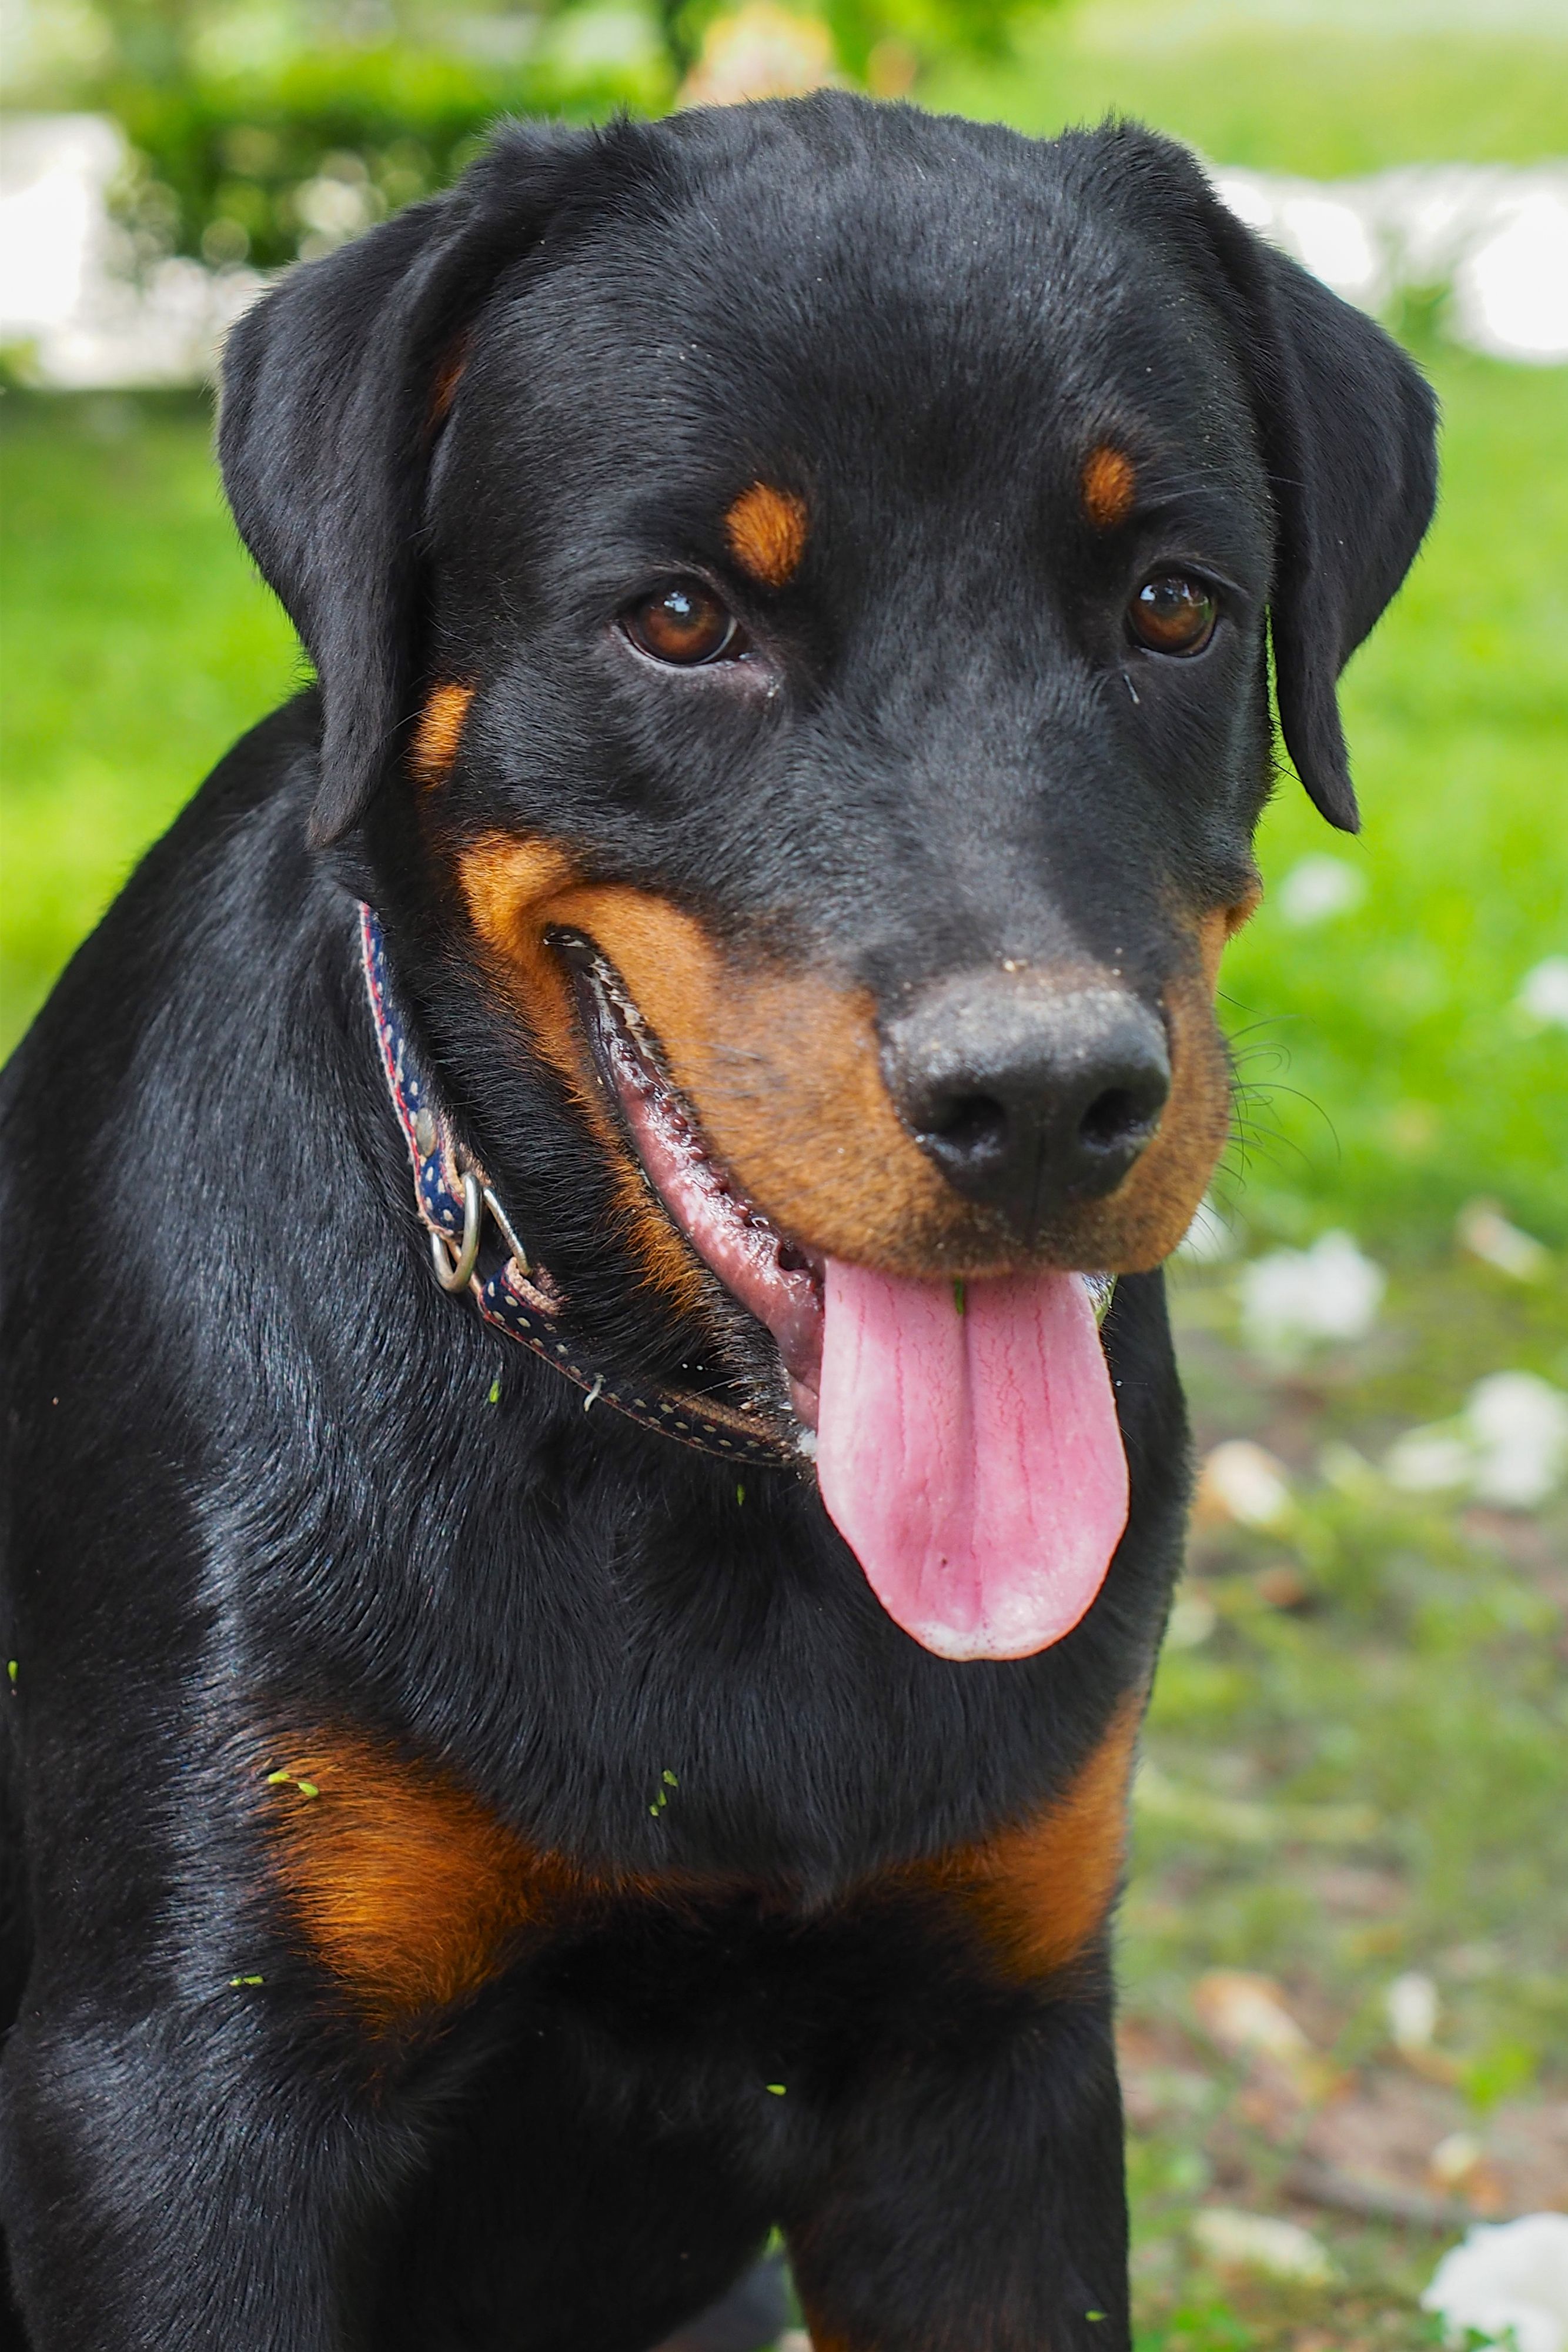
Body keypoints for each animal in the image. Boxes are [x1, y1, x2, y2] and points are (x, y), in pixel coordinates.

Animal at [0, 96, 1439, 2352]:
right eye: (682, 618)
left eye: (1172, 605)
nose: (1040, 1096)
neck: (697, 1477)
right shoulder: (176, 2088)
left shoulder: (991, 2043)